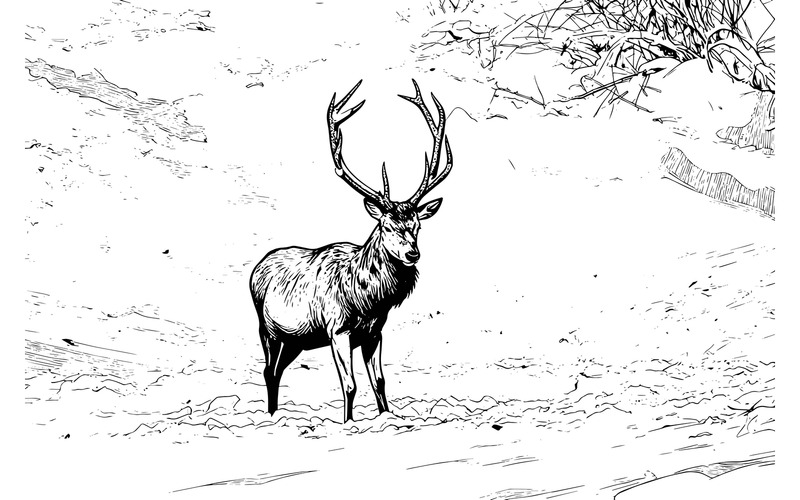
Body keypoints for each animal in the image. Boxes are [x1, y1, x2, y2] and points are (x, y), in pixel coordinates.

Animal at [249, 80, 453, 423]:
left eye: (417, 226)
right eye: (386, 226)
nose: (413, 254)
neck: (366, 300)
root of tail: (256, 268)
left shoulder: (374, 333)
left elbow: (380, 382)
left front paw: (386, 416)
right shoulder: (338, 329)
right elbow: (349, 384)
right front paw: (348, 422)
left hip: (296, 340)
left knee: (276, 371)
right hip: (267, 328)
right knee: (267, 370)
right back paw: (271, 415)